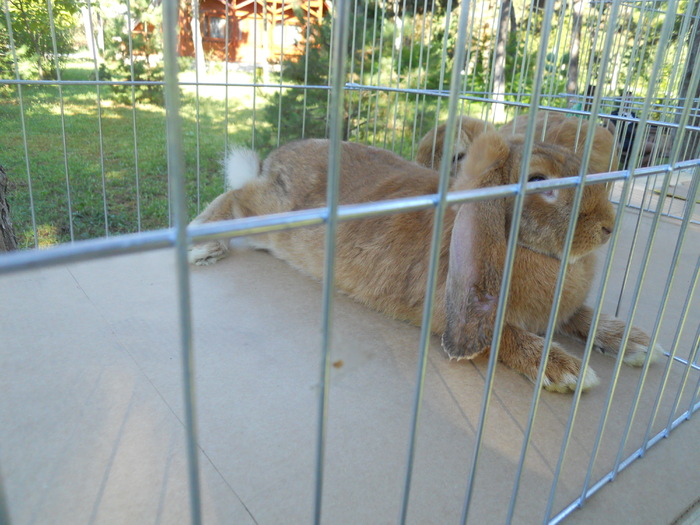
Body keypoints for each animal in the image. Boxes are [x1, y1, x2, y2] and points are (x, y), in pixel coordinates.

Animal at [188, 132, 662, 393]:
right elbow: (502, 336)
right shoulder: (455, 310)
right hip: (274, 212)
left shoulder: (563, 311)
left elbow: (584, 316)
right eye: (540, 181)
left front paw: (638, 344)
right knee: (237, 194)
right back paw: (200, 245)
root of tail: (276, 159)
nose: (608, 226)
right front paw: (566, 372)